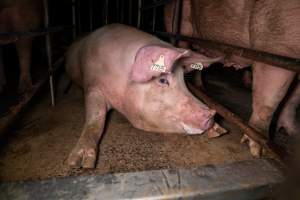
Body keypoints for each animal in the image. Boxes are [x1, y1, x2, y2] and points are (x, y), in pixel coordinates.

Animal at [66, 23, 225, 169]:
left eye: (183, 80)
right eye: (162, 80)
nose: (211, 114)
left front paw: (219, 131)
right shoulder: (92, 87)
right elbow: (96, 118)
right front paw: (79, 163)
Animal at [165, 0, 298, 156]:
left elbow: (293, 98)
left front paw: (292, 132)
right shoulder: (276, 43)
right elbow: (270, 100)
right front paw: (258, 151)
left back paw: (202, 89)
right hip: (180, 22)